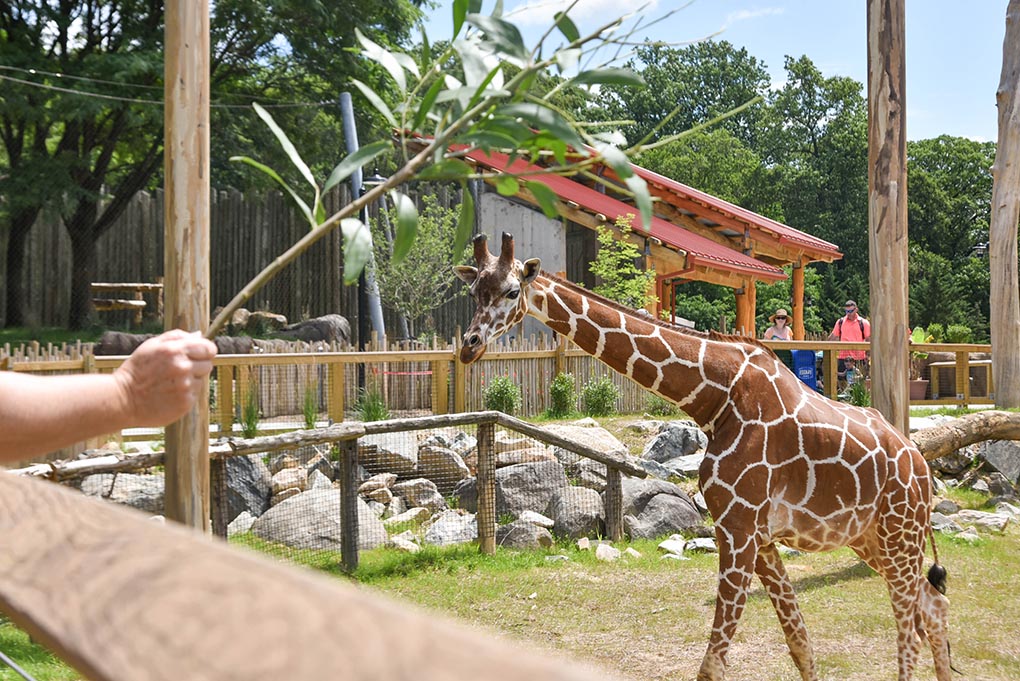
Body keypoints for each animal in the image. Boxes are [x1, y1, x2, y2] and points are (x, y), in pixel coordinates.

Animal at [459, 231, 950, 676]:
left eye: (512, 291)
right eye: (473, 291)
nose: (468, 346)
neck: (715, 398)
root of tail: (922, 464)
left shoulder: (738, 527)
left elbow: (714, 663)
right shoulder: (755, 534)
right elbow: (800, 644)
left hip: (899, 535)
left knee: (910, 630)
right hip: (870, 539)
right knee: (932, 606)